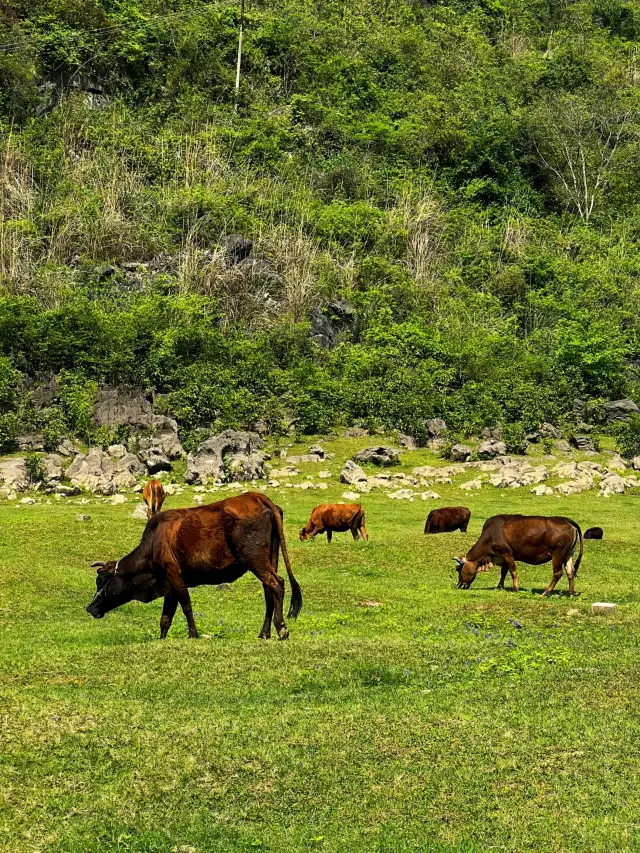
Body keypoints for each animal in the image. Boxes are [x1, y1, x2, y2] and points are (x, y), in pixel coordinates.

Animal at [87, 492, 302, 640]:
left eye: (101, 581)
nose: (90, 609)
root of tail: (256, 496)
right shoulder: (169, 586)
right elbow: (165, 618)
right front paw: (162, 640)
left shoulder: (174, 575)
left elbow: (186, 606)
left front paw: (193, 635)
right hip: (270, 558)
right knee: (269, 593)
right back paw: (264, 633)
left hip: (255, 559)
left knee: (277, 584)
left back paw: (282, 629)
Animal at [452, 516, 584, 596]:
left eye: (458, 569)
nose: (459, 586)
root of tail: (567, 520)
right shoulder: (503, 556)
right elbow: (503, 572)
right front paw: (499, 586)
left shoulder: (507, 553)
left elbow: (513, 572)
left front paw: (515, 589)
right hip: (568, 554)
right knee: (570, 572)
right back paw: (571, 593)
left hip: (557, 554)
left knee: (558, 573)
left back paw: (545, 593)